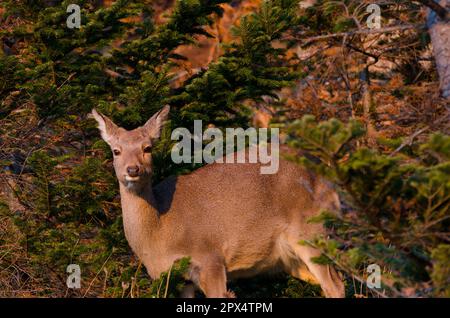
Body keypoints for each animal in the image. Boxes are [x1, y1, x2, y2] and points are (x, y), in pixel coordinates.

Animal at [90, 106, 344, 298]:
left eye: (147, 148)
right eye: (116, 151)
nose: (133, 169)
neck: (161, 229)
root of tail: (327, 178)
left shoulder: (209, 257)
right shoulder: (180, 279)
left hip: (310, 230)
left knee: (335, 286)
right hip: (293, 258)